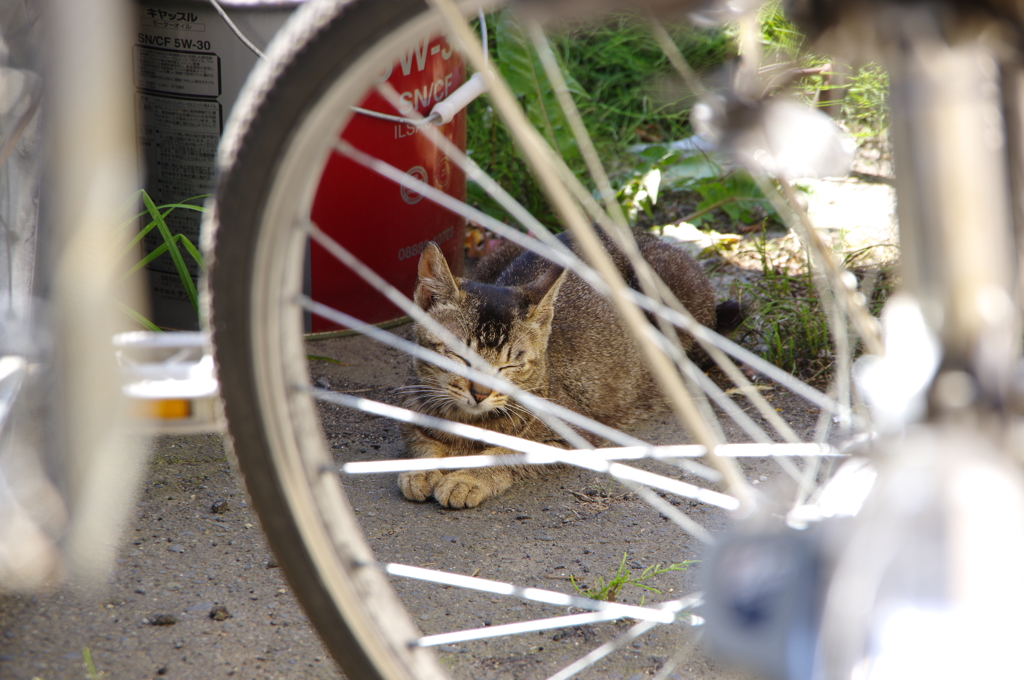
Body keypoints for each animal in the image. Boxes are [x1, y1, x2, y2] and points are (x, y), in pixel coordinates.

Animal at [397, 231, 720, 507]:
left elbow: (509, 451)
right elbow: (421, 439)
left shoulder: (573, 431)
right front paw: (421, 469)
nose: (480, 393)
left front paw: (467, 479)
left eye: (511, 365)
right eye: (459, 356)